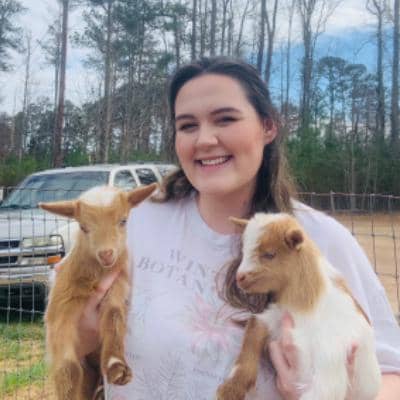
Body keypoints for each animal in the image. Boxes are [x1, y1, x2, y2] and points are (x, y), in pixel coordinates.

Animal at [39, 183, 157, 400]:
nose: (106, 254)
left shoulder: (117, 288)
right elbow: (68, 367)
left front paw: (116, 365)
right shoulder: (61, 306)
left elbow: (114, 317)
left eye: (123, 220)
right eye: (83, 227)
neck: (97, 274)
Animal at [217, 212, 381, 400]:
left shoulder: (329, 359)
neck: (306, 306)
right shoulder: (277, 315)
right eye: (243, 251)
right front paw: (231, 389)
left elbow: (324, 391)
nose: (240, 277)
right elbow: (252, 332)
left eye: (270, 254)